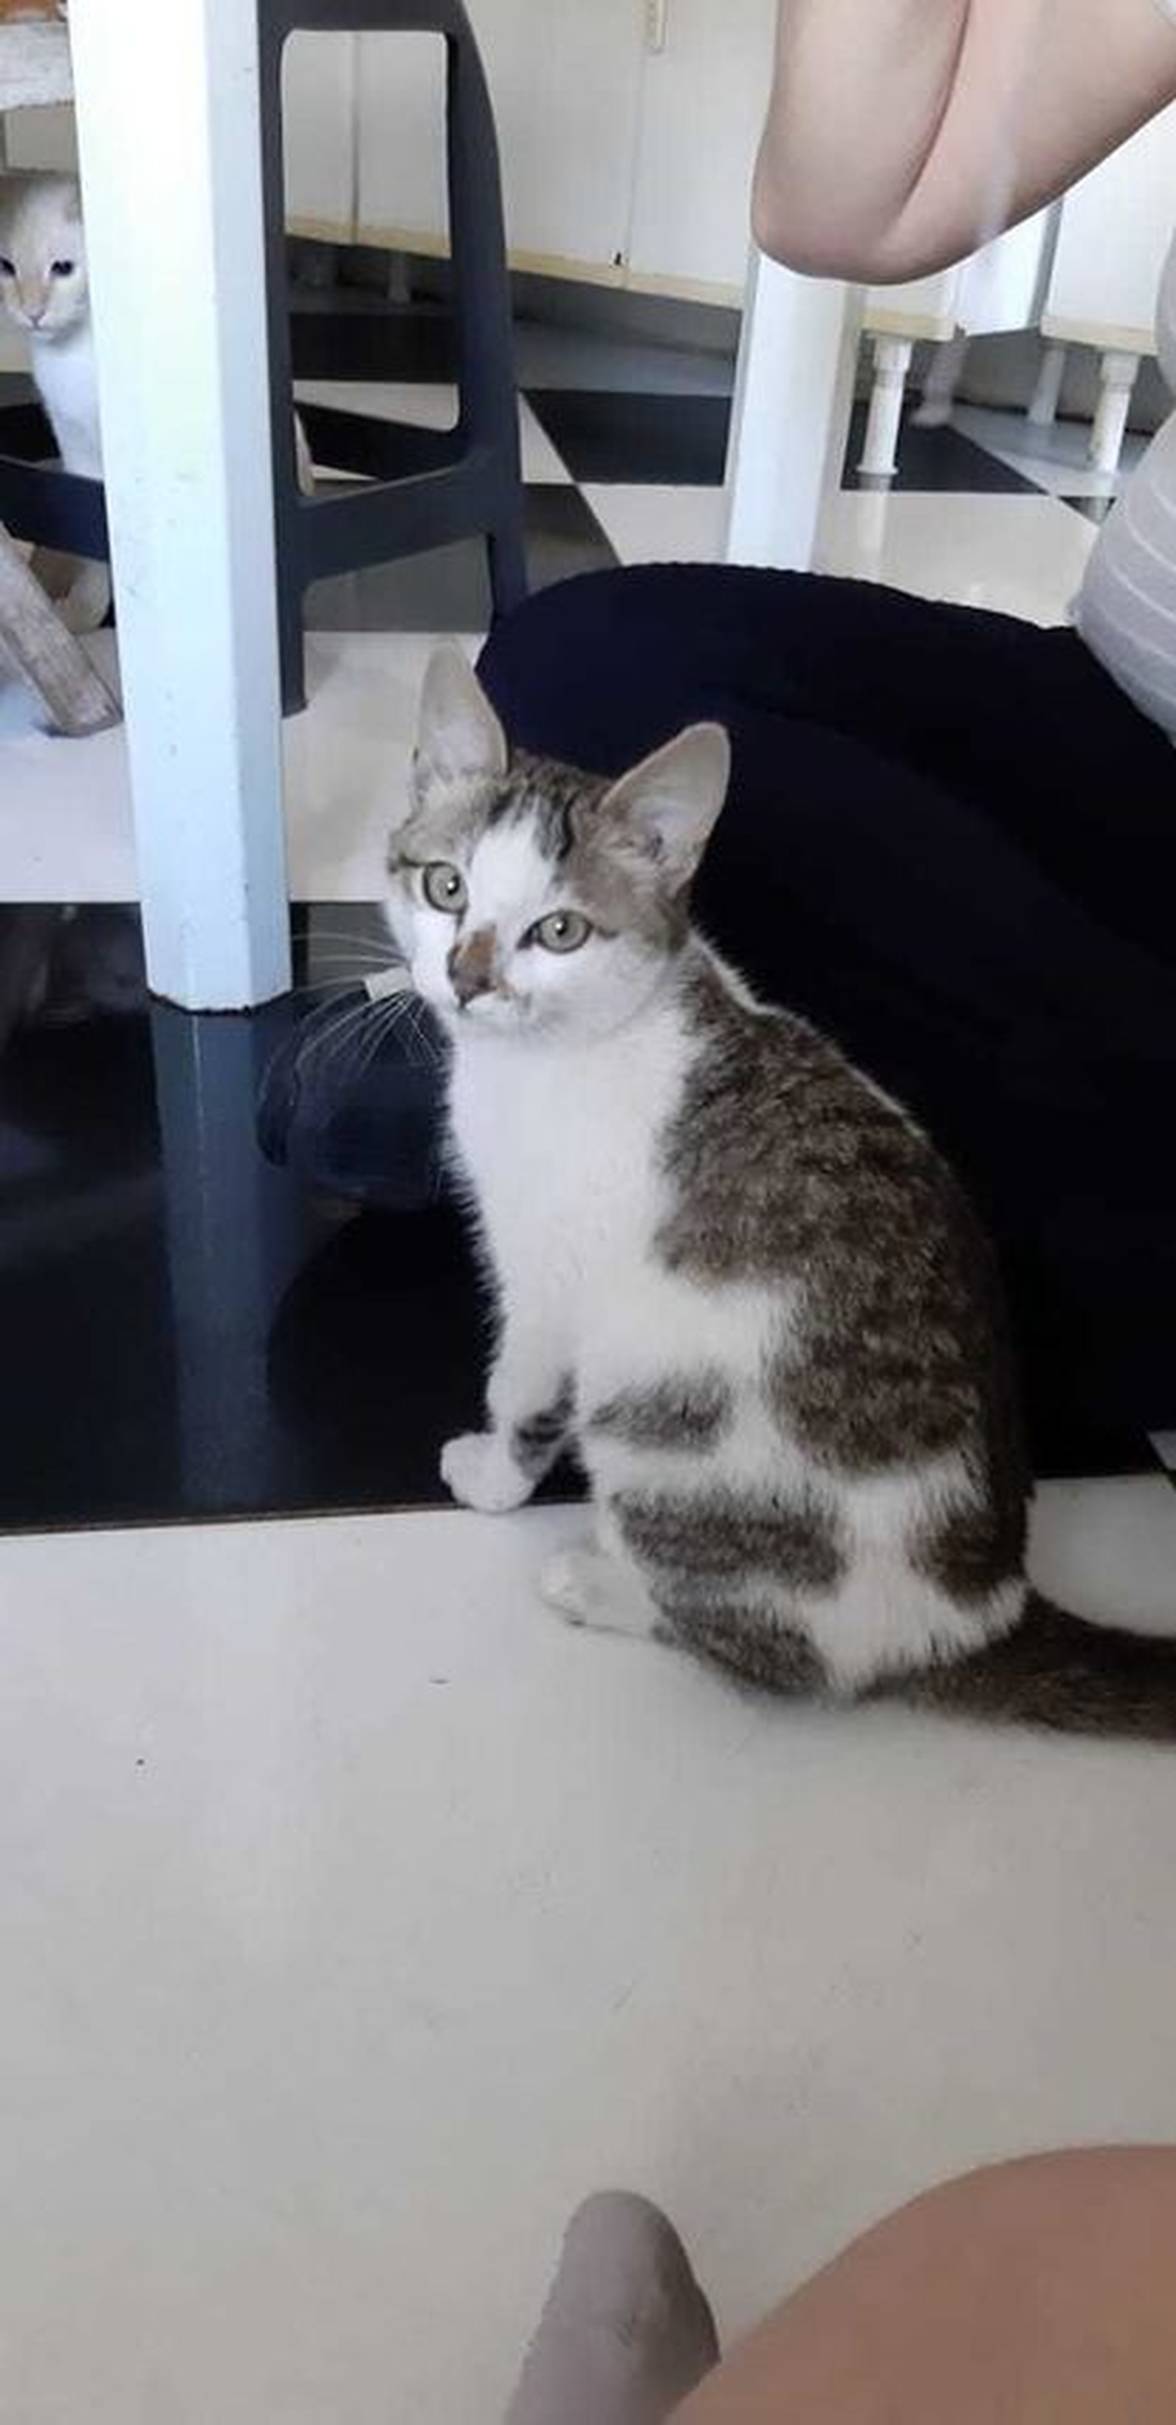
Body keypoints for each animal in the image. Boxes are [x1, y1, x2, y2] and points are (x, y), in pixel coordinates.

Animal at [385, 645, 1176, 1739]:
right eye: (446, 885)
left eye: (560, 930)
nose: (467, 978)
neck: (579, 1042)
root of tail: (976, 1612)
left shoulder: (548, 1275)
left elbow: (524, 1388)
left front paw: (495, 1477)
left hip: (661, 1433)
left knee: (762, 1648)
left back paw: (601, 1584)